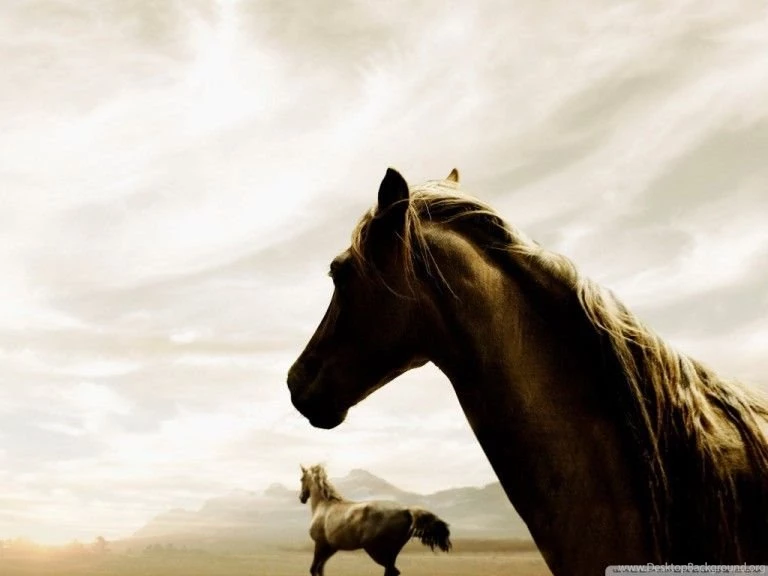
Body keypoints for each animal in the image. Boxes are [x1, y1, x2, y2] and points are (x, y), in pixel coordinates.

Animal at [297, 464, 451, 576]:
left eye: (301, 479)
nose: (301, 498)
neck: (324, 505)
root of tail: (406, 510)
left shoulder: (320, 544)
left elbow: (314, 569)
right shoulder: (331, 547)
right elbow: (320, 570)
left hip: (375, 550)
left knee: (392, 571)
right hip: (391, 552)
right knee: (391, 571)